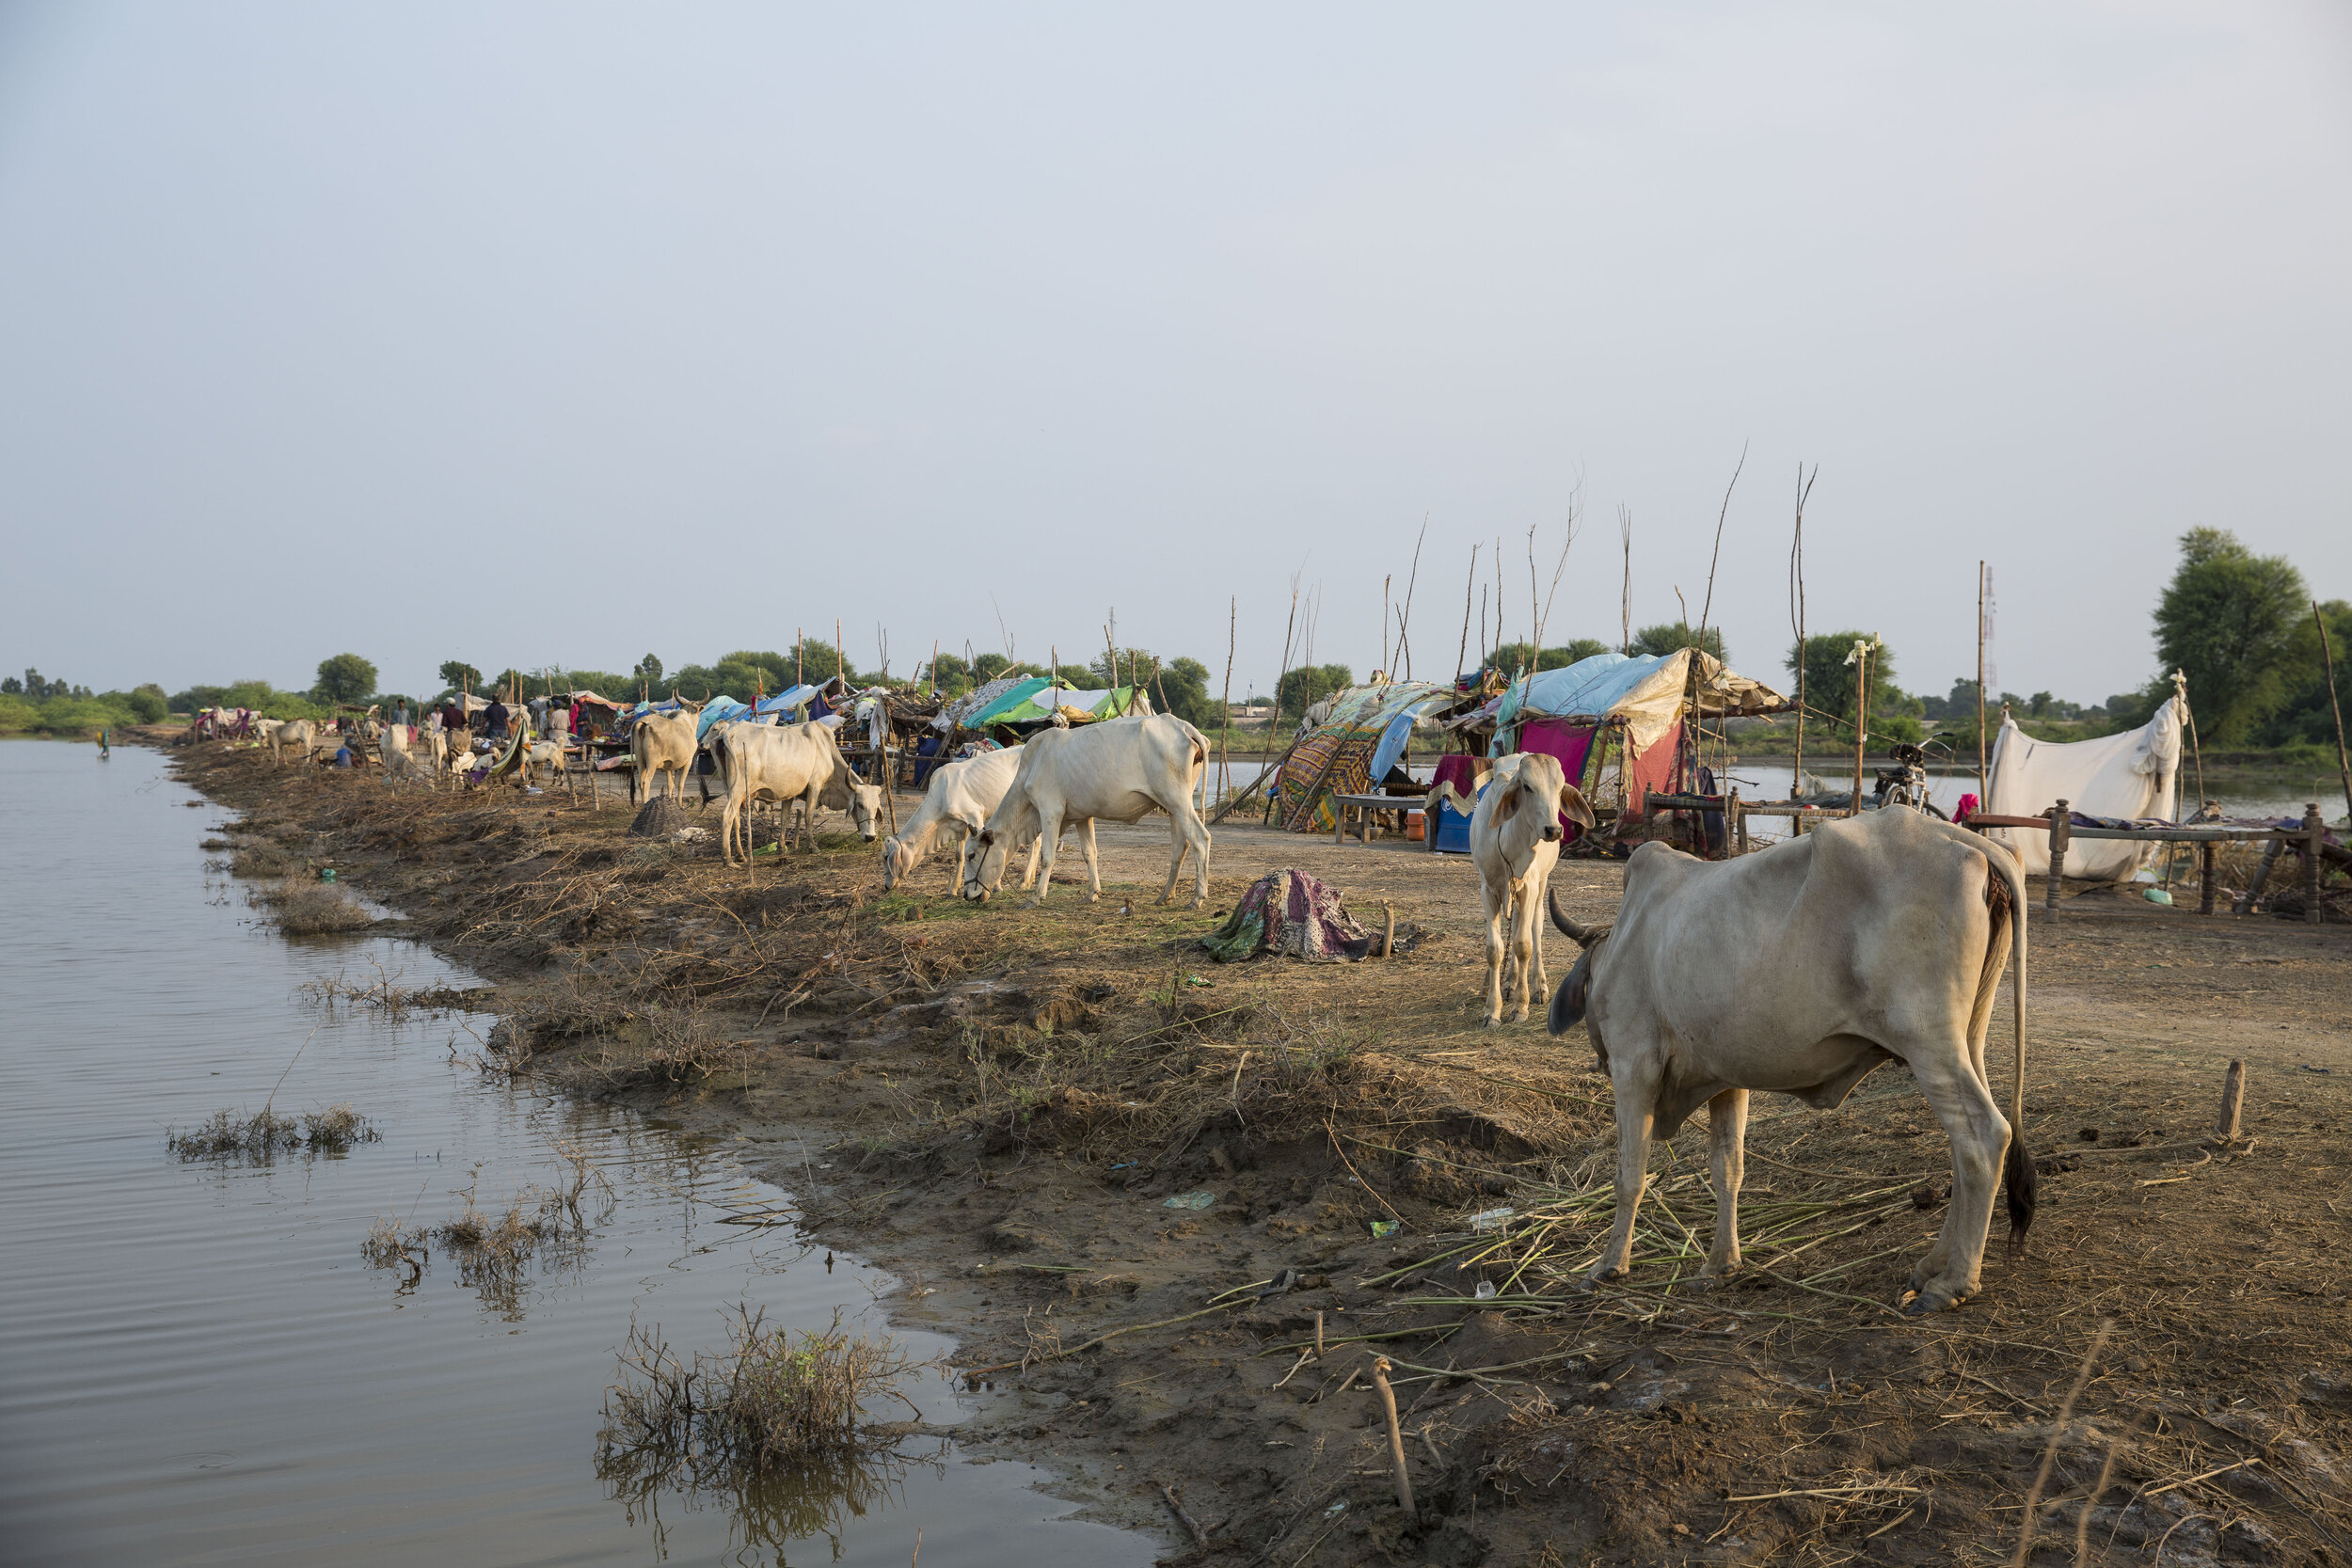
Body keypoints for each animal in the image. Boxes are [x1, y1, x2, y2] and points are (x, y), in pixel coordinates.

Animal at [706, 719, 884, 864]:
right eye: (860, 805)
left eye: (876, 807)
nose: (870, 837)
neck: (827, 751)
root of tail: (730, 732)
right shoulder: (815, 785)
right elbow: (808, 816)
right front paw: (812, 846)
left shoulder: (788, 793)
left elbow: (785, 817)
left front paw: (781, 847)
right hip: (739, 788)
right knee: (727, 815)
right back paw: (728, 859)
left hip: (730, 787)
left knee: (735, 818)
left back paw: (740, 855)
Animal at [884, 747, 1049, 893]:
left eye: (886, 857)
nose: (886, 886)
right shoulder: (960, 827)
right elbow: (959, 856)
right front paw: (953, 889)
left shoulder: (975, 815)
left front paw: (997, 887)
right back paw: (1030, 879)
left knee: (1036, 844)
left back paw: (1024, 881)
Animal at [955, 709, 1214, 907]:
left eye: (972, 855)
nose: (967, 895)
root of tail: (1182, 726)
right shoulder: (1081, 816)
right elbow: (1090, 853)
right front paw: (1092, 893)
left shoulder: (1050, 812)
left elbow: (1047, 857)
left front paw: (1036, 897)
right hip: (1173, 806)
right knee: (1180, 846)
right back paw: (1165, 895)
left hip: (1177, 800)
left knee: (1200, 839)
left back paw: (1197, 898)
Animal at [1552, 803, 2032, 1316]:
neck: (1626, 937)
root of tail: (1968, 842)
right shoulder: (1726, 1077)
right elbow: (1728, 1169)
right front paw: (1719, 1266)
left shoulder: (1634, 1063)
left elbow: (1630, 1174)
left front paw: (1608, 1266)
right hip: (1966, 1038)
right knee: (1964, 1148)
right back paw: (1931, 1267)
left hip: (1929, 1042)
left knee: (1985, 1137)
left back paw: (1953, 1283)